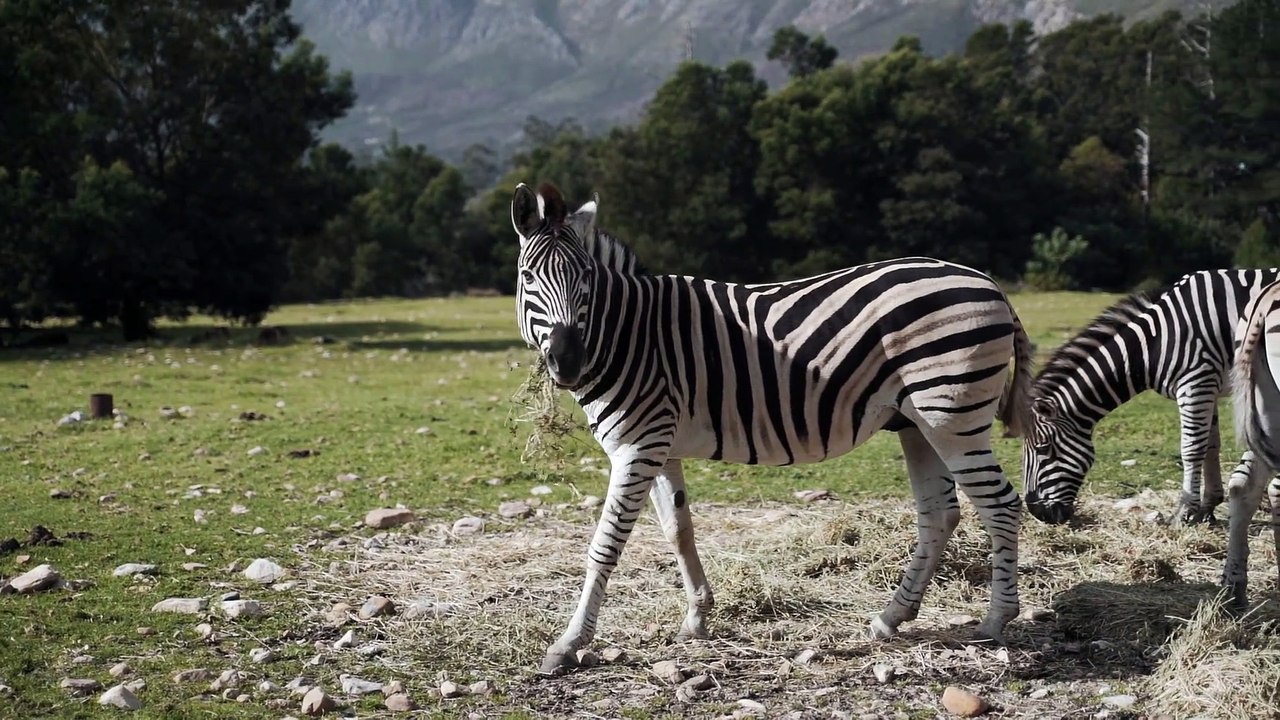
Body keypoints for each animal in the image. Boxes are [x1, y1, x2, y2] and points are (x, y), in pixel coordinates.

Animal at [511, 182, 1035, 675]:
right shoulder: (659, 444)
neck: (628, 337)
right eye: (528, 276)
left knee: (1000, 504)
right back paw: (890, 618)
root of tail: (989, 283)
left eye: (586, 279)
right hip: (916, 422)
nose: (567, 362)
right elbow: (679, 530)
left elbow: (604, 545)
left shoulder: (636, 446)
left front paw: (568, 643)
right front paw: (696, 619)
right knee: (939, 514)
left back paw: (996, 621)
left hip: (952, 416)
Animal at [1021, 268, 1280, 529]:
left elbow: (1191, 449)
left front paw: (1183, 512)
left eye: (1044, 448)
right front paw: (1207, 508)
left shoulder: (1196, 381)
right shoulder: (1207, 386)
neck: (1155, 342)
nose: (1038, 513)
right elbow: (1210, 446)